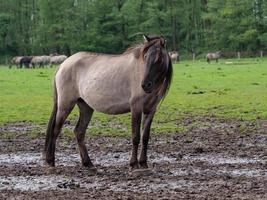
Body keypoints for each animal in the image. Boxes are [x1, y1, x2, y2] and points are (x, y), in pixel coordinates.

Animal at [43, 35, 174, 174]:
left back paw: (88, 163)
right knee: (56, 129)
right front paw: (134, 165)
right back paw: (50, 161)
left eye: (159, 59)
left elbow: (145, 137)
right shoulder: (136, 108)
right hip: (65, 104)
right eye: (145, 57)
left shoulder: (150, 110)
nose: (145, 85)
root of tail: (63, 64)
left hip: (85, 107)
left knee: (79, 132)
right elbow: (136, 136)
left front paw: (144, 163)